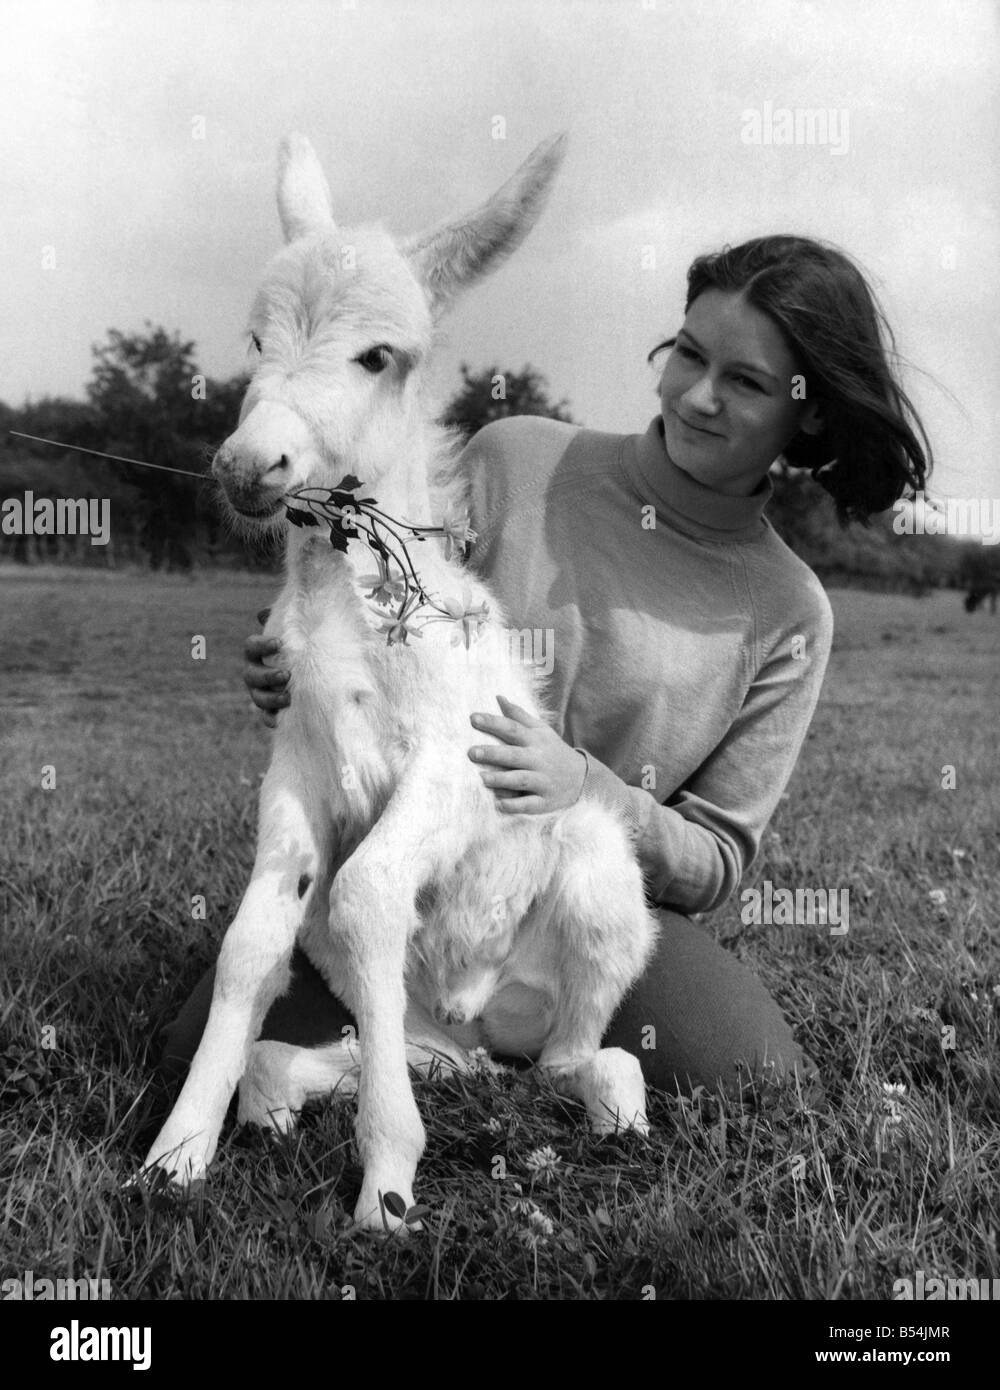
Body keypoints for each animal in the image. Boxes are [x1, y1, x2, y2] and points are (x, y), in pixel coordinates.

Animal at [140, 132, 656, 1228]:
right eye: (254, 339)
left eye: (381, 356)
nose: (248, 466)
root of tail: (477, 1029)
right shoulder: (295, 769)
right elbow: (255, 934)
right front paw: (171, 1159)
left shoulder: (456, 765)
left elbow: (370, 891)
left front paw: (384, 1184)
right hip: (422, 1026)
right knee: (328, 1047)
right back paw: (291, 1097)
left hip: (597, 887)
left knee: (579, 1058)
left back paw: (596, 1107)